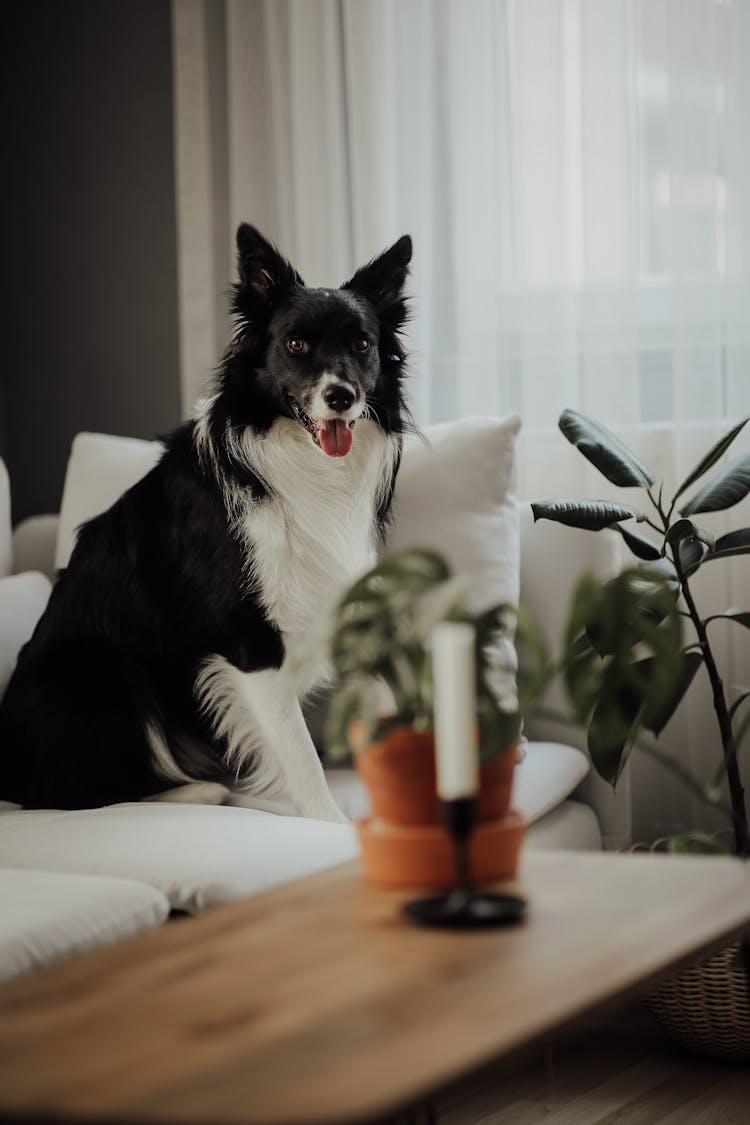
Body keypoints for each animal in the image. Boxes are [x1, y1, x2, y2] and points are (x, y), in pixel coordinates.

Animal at [0, 223, 413, 823]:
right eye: (296, 345)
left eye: (362, 344)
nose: (342, 397)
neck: (299, 461)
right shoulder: (250, 641)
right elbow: (301, 756)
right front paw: (330, 826)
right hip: (108, 670)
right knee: (68, 795)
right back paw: (197, 792)